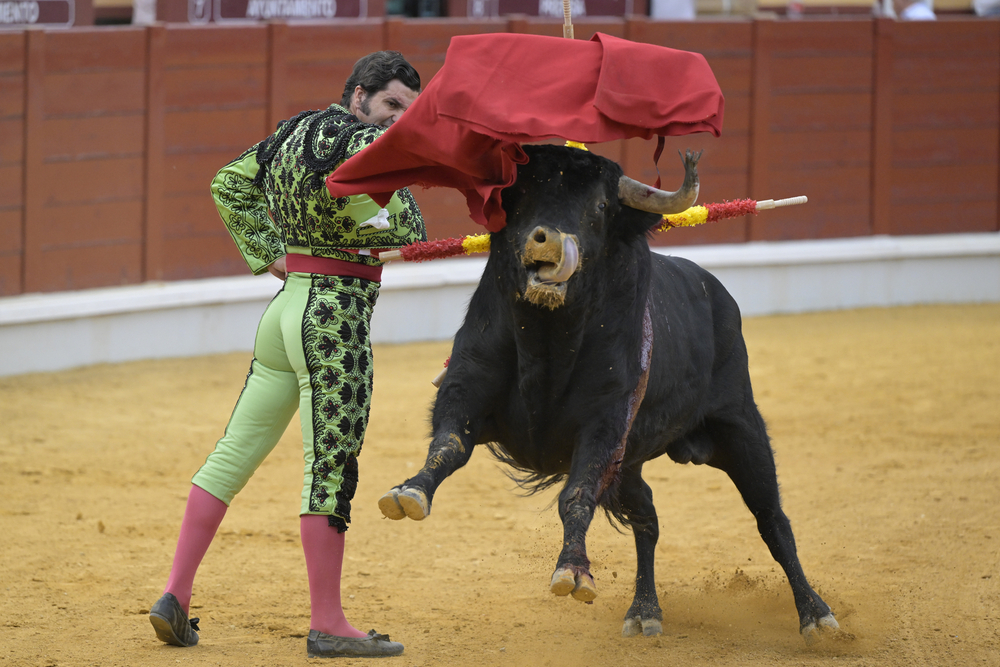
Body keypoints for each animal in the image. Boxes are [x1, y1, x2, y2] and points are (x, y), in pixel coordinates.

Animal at [376, 145, 836, 640]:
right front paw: (409, 492)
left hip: (740, 426)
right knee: (648, 519)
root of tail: (716, 292)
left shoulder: (604, 425)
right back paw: (645, 610)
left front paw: (573, 571)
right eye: (516, 199)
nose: (545, 239)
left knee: (772, 519)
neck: (548, 339)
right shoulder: (466, 385)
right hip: (631, 464)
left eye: (598, 207)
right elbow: (449, 446)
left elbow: (576, 495)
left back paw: (816, 614)